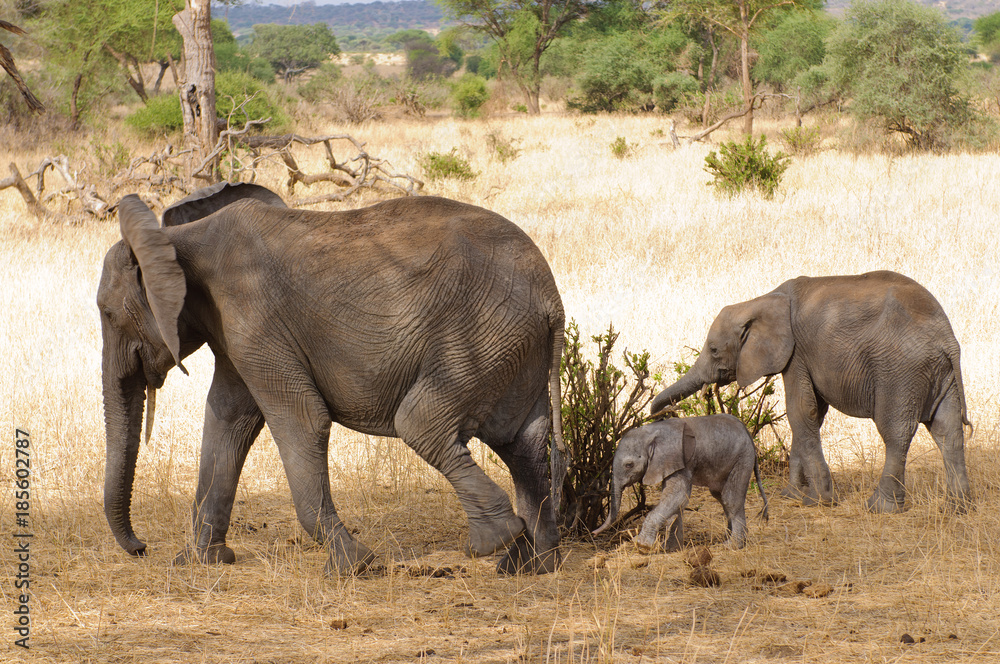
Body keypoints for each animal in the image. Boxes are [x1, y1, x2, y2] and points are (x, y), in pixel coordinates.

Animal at [101, 183, 572, 576]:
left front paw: (353, 566)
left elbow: (301, 420)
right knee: (524, 446)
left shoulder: (253, 316)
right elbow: (226, 422)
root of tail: (551, 297)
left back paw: (494, 542)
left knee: (420, 423)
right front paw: (201, 562)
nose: (141, 547)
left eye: (107, 314)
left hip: (480, 335)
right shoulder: (235, 333)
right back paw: (531, 565)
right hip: (513, 345)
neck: (176, 240)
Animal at [588, 416, 768, 548]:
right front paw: (671, 549)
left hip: (742, 458)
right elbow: (676, 501)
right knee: (721, 497)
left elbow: (678, 496)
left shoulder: (679, 460)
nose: (593, 533)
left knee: (731, 499)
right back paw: (729, 539)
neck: (652, 431)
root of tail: (747, 432)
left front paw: (642, 546)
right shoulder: (667, 464)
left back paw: (730, 546)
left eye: (628, 465)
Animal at [652, 270, 972, 512]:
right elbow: (812, 415)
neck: (762, 300)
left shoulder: (796, 353)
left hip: (900, 370)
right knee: (948, 430)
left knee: (896, 432)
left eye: (714, 350)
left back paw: (880, 508)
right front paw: (792, 496)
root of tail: (947, 339)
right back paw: (958, 507)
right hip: (939, 372)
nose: (661, 415)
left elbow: (800, 410)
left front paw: (818, 501)